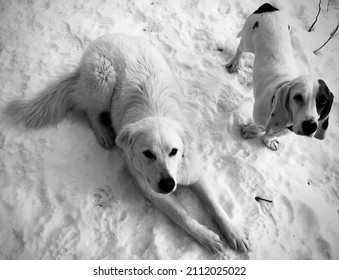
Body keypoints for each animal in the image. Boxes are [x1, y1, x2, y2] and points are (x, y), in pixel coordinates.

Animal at [4, 34, 250, 254]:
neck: (154, 111)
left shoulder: (192, 170)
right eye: (148, 153)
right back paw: (104, 133)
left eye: (174, 151)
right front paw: (207, 237)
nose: (168, 184)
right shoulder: (152, 189)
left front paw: (234, 233)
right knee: (90, 111)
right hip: (103, 80)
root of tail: (103, 38)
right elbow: (183, 217)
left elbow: (215, 206)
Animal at [226, 3, 334, 150]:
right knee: (240, 49)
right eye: (297, 97)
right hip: (247, 40)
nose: (310, 126)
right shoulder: (259, 118)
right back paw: (235, 62)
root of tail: (269, 6)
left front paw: (269, 140)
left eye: (323, 101)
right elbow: (258, 127)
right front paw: (250, 131)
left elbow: (270, 134)